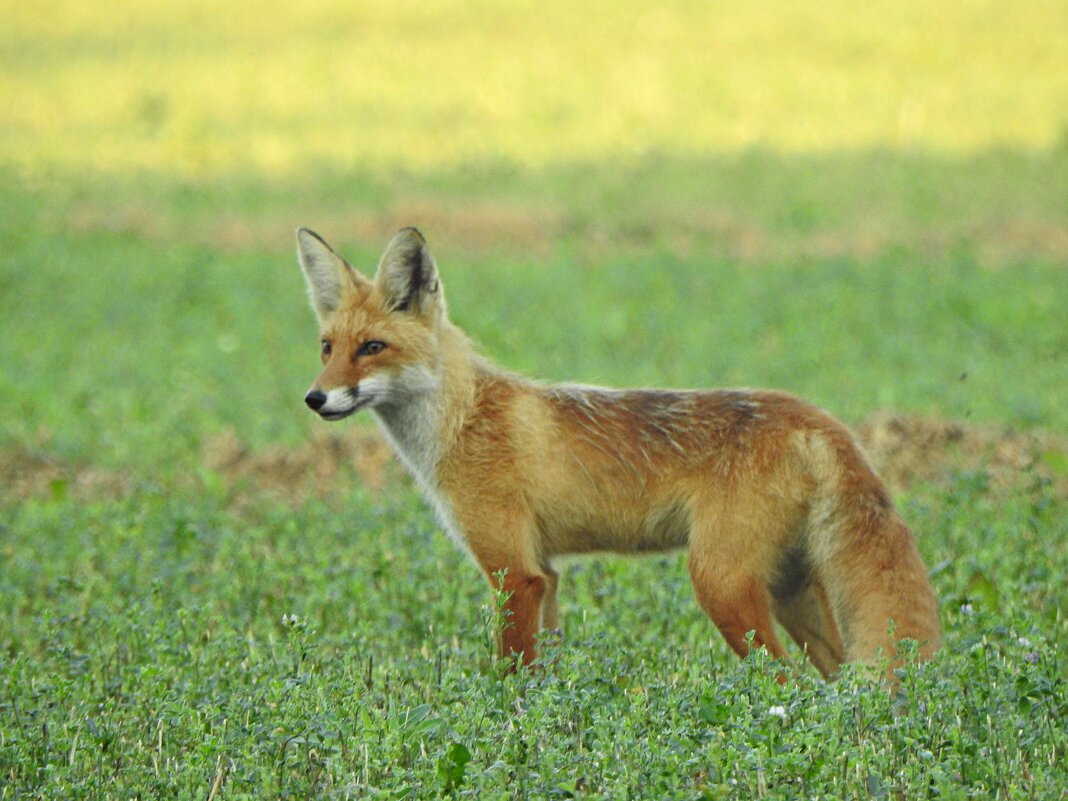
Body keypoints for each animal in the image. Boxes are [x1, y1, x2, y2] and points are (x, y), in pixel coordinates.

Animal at [296, 227, 939, 683]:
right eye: (327, 348)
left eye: (372, 348)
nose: (315, 398)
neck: (464, 419)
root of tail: (816, 416)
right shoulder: (547, 574)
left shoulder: (514, 573)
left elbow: (511, 677)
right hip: (788, 590)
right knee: (834, 686)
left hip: (721, 584)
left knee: (788, 685)